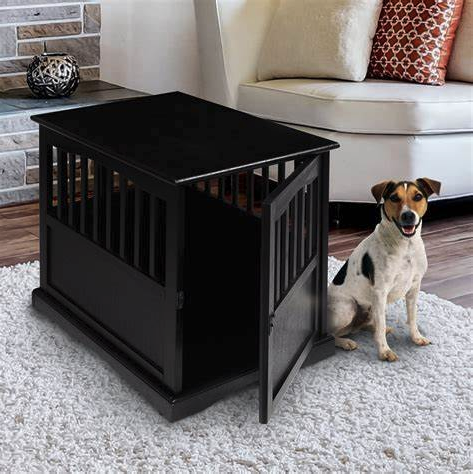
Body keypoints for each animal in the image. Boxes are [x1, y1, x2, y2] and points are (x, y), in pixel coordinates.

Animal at [326, 179, 440, 362]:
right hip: (348, 308)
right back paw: (346, 342)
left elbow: (412, 317)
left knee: (367, 325)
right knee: (332, 334)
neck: (405, 246)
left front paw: (416, 338)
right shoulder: (380, 291)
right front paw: (384, 351)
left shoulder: (414, 288)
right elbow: (381, 325)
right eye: (394, 198)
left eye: (417, 196)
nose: (408, 215)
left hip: (370, 308)